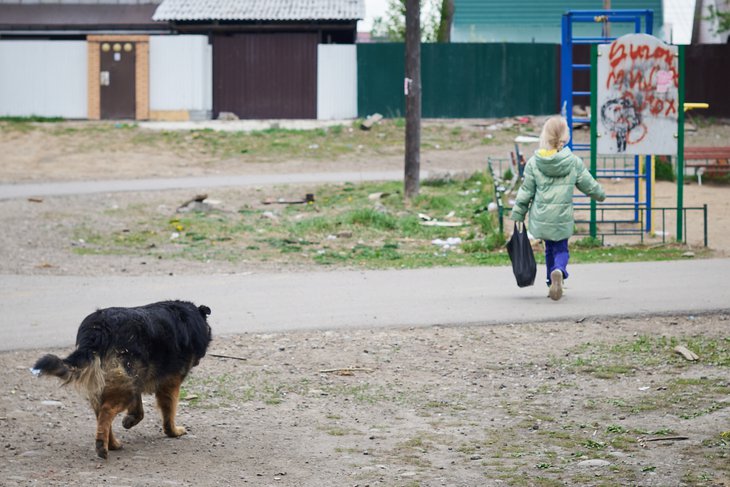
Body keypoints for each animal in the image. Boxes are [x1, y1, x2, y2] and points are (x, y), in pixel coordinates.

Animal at [33, 300, 212, 460]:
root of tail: (98, 328)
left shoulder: (136, 381)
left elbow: (139, 410)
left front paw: (130, 420)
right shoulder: (170, 384)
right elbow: (169, 411)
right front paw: (173, 432)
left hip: (118, 384)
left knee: (101, 414)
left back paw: (111, 444)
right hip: (125, 387)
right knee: (106, 411)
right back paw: (102, 446)